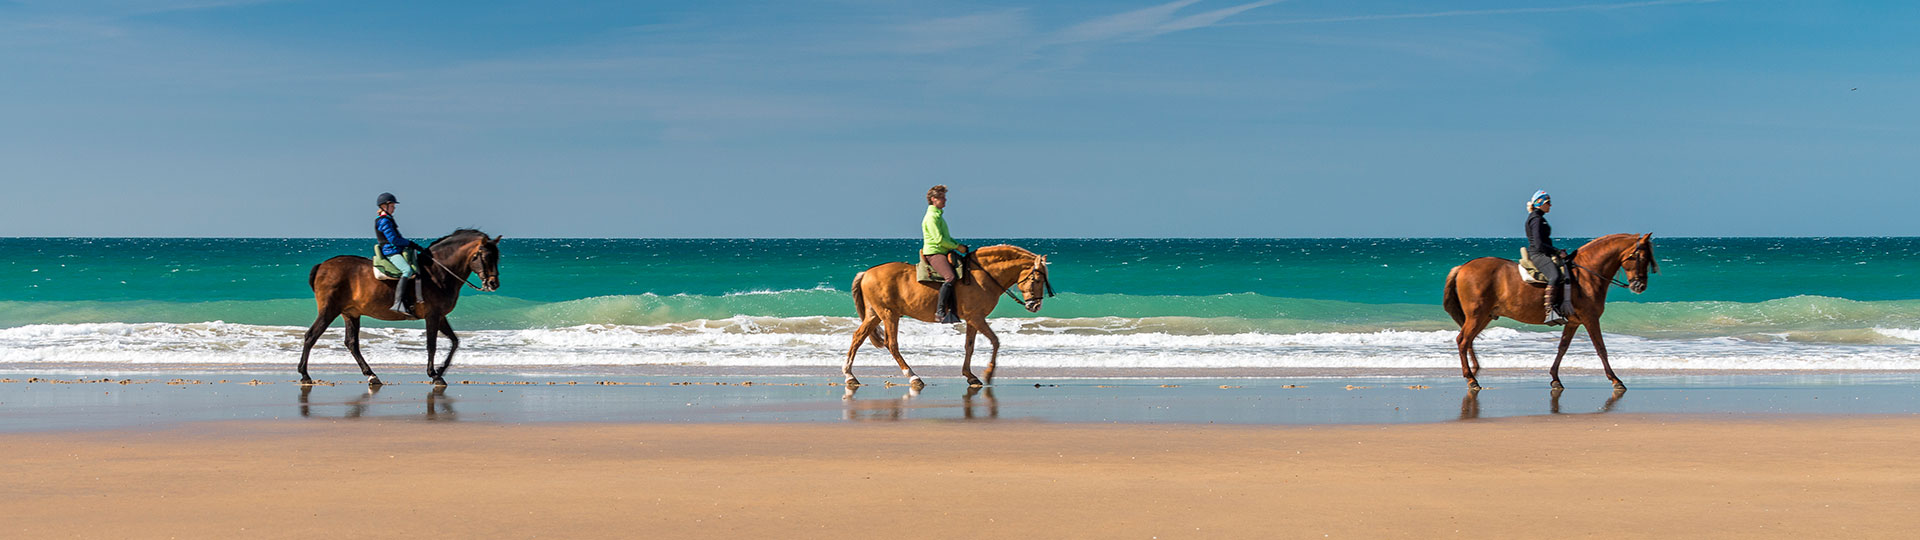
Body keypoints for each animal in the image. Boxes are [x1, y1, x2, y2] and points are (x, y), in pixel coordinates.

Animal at [293, 228, 499, 384]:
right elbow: (431, 345)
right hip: (329, 311)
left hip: (350, 314)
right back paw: (305, 374)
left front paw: (440, 371)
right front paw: (434, 374)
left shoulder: (440, 316)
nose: (493, 283)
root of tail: (322, 266)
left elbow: (455, 342)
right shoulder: (432, 315)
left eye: (496, 257)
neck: (438, 272)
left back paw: (371, 375)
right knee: (311, 336)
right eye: (486, 256)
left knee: (352, 343)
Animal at [852, 244, 1059, 386]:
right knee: (892, 344)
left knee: (857, 338)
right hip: (889, 315)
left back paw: (849, 376)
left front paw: (970, 376)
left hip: (874, 315)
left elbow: (969, 346)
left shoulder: (972, 319)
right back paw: (913, 376)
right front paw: (988, 373)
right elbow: (995, 341)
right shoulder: (977, 318)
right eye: (1037, 279)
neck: (983, 276)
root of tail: (866, 273)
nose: (1035, 305)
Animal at [1443, 233, 1658, 388]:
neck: (1587, 274)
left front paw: (1555, 378)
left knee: (1468, 341)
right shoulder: (1590, 319)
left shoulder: (1574, 321)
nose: (1640, 286)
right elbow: (1601, 348)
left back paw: (1474, 371)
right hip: (1476, 316)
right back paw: (1471, 379)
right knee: (1462, 340)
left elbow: (1562, 348)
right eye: (1640, 257)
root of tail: (1462, 267)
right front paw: (1615, 380)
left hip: (1484, 317)